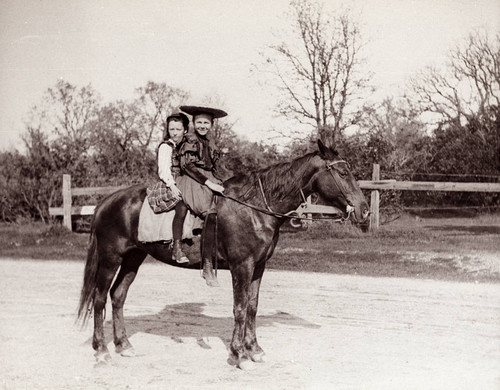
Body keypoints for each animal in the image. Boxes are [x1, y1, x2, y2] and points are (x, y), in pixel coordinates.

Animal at [76, 139, 370, 368]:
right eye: (342, 172)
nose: (364, 210)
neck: (254, 207)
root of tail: (106, 201)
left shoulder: (258, 267)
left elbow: (252, 307)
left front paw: (255, 350)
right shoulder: (242, 266)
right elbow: (239, 308)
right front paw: (237, 354)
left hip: (133, 258)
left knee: (118, 296)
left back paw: (124, 345)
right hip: (111, 258)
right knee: (100, 299)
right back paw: (101, 350)